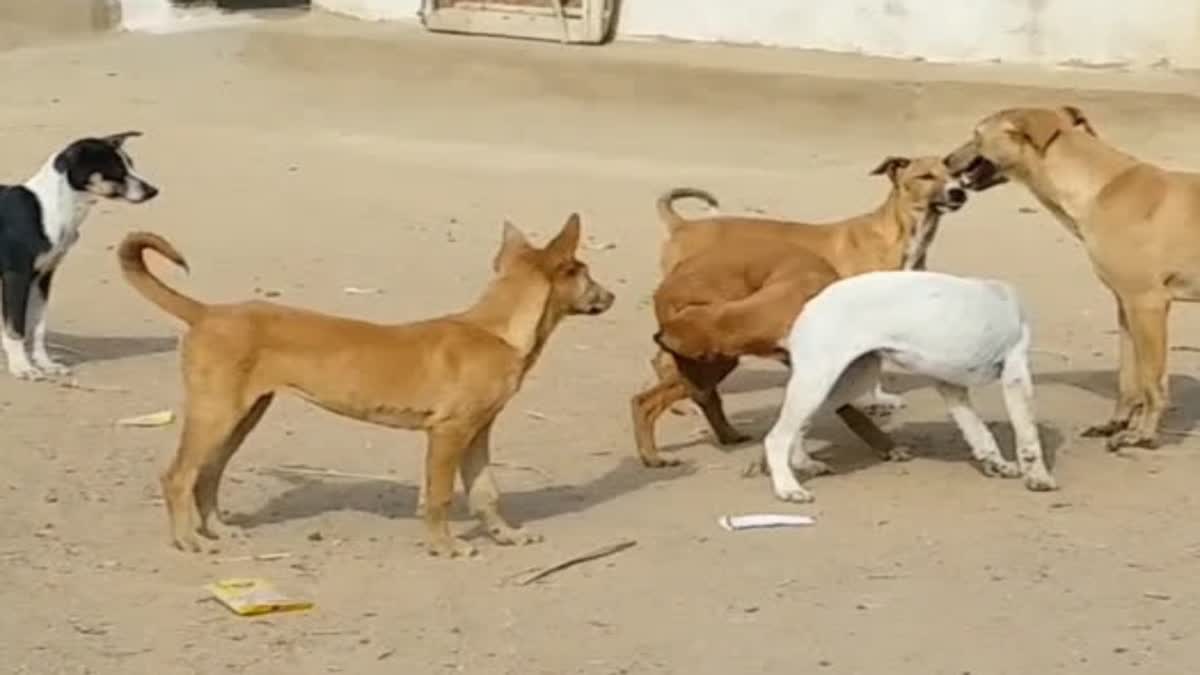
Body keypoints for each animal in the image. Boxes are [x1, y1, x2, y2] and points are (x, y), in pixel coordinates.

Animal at [0, 131, 158, 379]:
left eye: (131, 165)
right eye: (116, 169)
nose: (153, 191)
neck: (50, 209)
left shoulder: (43, 277)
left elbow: (37, 326)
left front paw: (45, 363)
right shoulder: (17, 276)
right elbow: (16, 328)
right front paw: (22, 367)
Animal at [117, 214, 614, 557]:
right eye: (588, 273)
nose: (611, 296)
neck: (496, 330)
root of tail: (206, 312)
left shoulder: (478, 434)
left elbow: (486, 493)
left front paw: (504, 535)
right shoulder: (448, 433)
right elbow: (439, 496)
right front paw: (444, 546)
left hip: (243, 415)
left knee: (208, 475)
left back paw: (217, 529)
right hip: (216, 413)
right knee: (179, 476)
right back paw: (189, 540)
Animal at [628, 154, 964, 466]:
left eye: (954, 173)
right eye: (925, 176)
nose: (959, 192)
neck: (901, 234)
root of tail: (682, 224)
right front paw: (878, 403)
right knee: (667, 372)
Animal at [763, 267, 1056, 499]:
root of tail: (810, 305)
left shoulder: (949, 385)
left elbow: (979, 433)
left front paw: (997, 465)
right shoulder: (1016, 374)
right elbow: (1028, 436)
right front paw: (1038, 478)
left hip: (851, 380)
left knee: (801, 426)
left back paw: (804, 463)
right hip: (817, 383)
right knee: (776, 437)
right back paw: (788, 488)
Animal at [945, 106, 1190, 451]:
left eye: (976, 134)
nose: (945, 160)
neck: (1099, 186)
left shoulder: (1148, 303)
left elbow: (1151, 381)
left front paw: (1142, 434)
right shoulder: (1127, 306)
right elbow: (1128, 377)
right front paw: (1118, 422)